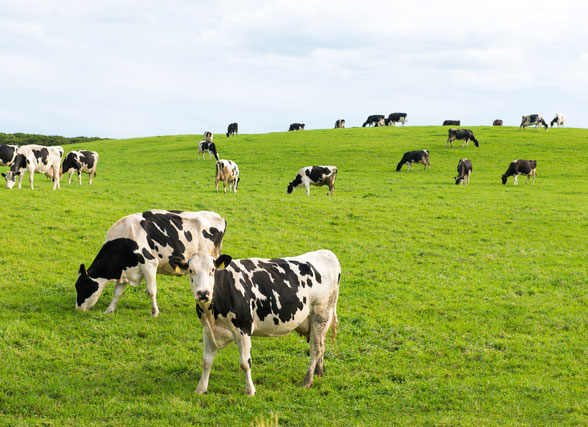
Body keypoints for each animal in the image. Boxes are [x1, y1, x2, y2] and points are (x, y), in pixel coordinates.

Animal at [74, 211, 226, 318]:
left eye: (80, 286)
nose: (77, 309)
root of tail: (219, 216)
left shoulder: (149, 262)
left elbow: (151, 290)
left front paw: (155, 312)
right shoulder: (126, 269)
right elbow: (117, 292)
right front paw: (109, 310)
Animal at [172, 249, 340, 396]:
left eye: (212, 270)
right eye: (190, 270)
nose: (203, 293)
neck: (212, 313)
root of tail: (326, 253)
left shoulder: (244, 330)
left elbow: (245, 363)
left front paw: (250, 391)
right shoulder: (208, 331)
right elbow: (206, 361)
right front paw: (201, 389)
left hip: (321, 314)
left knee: (315, 348)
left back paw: (308, 379)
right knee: (321, 345)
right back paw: (319, 373)